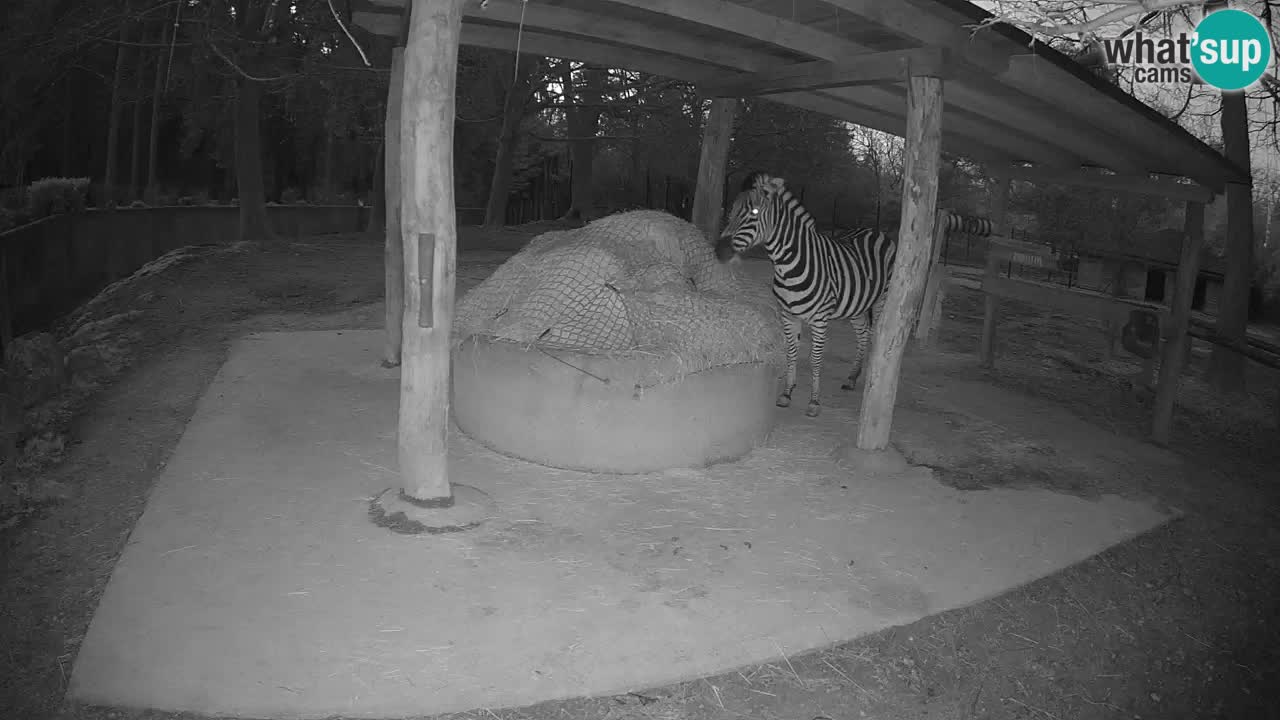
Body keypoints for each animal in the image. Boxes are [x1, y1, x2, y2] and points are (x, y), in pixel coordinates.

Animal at [715, 172, 897, 418]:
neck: (787, 266)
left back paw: (870, 380)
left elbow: (815, 359)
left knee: (874, 335)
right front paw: (786, 393)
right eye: (731, 210)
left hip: (881, 300)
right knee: (862, 334)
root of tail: (875, 230)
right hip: (857, 305)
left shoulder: (820, 319)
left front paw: (814, 402)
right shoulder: (788, 315)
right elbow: (792, 353)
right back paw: (851, 378)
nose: (719, 251)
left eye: (754, 212)